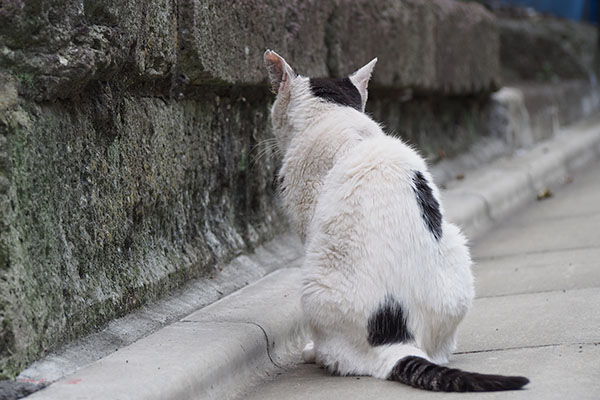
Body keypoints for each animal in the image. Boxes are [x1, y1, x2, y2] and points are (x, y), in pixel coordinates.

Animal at [264, 49, 528, 390]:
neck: (337, 118)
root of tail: (399, 342)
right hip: (456, 244)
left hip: (314, 280)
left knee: (337, 355)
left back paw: (315, 353)